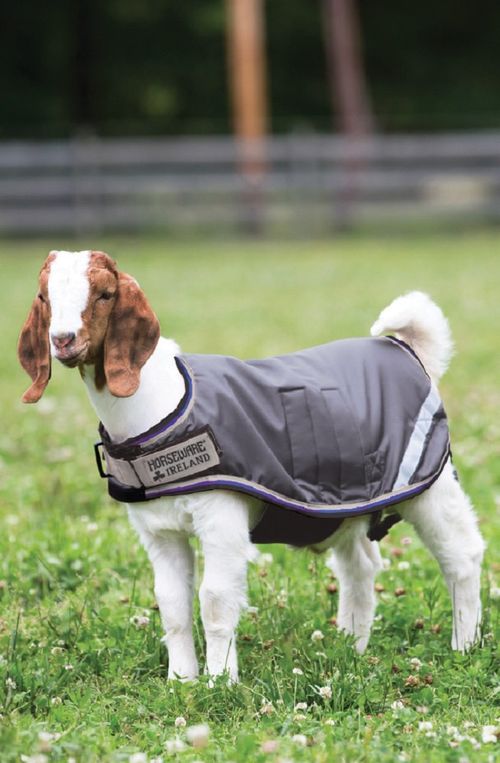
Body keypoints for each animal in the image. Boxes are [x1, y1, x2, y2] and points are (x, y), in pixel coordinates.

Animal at [18, 250, 484, 682]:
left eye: (104, 294)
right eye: (43, 296)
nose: (63, 340)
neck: (162, 404)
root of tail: (408, 349)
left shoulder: (221, 516)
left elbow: (214, 599)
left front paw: (220, 682)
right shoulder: (158, 530)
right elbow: (171, 603)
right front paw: (180, 681)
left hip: (430, 482)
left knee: (462, 556)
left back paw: (464, 645)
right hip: (348, 501)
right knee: (360, 566)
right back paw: (349, 646)